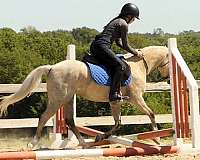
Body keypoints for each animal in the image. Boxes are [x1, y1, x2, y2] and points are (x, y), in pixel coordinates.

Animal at [0, 45, 169, 148]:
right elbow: (151, 114)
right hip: (58, 100)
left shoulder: (115, 102)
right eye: (168, 62)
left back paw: (84, 143)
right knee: (44, 117)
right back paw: (33, 143)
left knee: (69, 121)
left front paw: (100, 137)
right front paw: (157, 138)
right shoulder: (136, 98)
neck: (139, 65)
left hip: (67, 99)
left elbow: (117, 123)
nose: (168, 79)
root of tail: (52, 67)